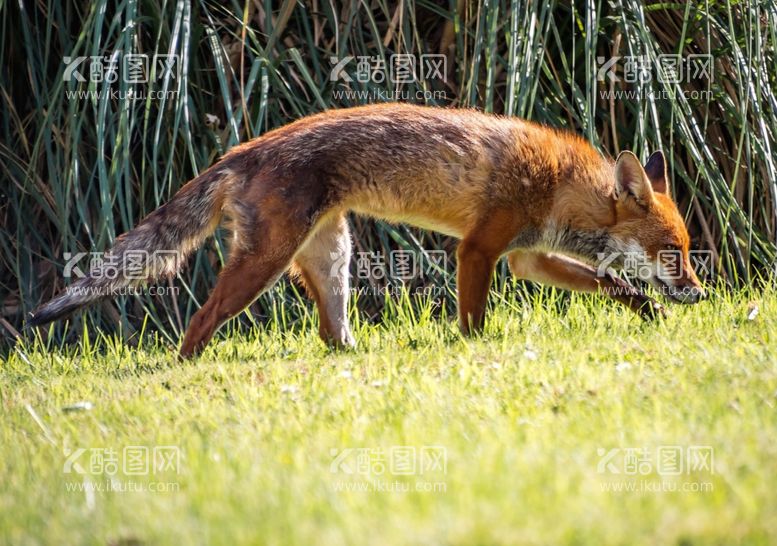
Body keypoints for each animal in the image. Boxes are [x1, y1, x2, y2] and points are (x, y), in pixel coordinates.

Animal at [27, 103, 704, 354]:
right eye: (672, 252)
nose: (699, 293)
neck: (559, 185)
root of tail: (242, 150)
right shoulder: (480, 247)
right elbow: (473, 317)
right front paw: (474, 348)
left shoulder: (525, 256)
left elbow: (608, 282)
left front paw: (645, 310)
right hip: (262, 265)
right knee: (200, 318)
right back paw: (185, 365)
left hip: (332, 259)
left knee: (331, 333)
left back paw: (356, 356)